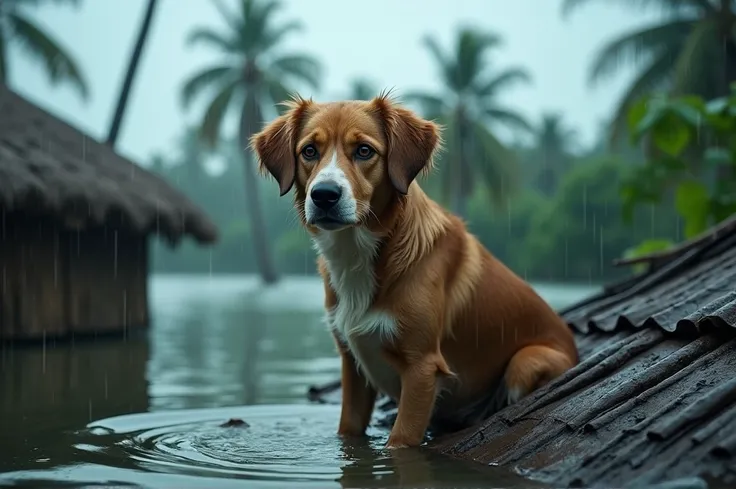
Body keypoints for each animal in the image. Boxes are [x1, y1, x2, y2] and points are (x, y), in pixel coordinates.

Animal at [250, 93, 576, 448]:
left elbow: (401, 441)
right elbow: (348, 432)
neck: (362, 252)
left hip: (526, 361)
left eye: (364, 150)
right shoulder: (352, 365)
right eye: (309, 151)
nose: (324, 195)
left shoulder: (422, 368)